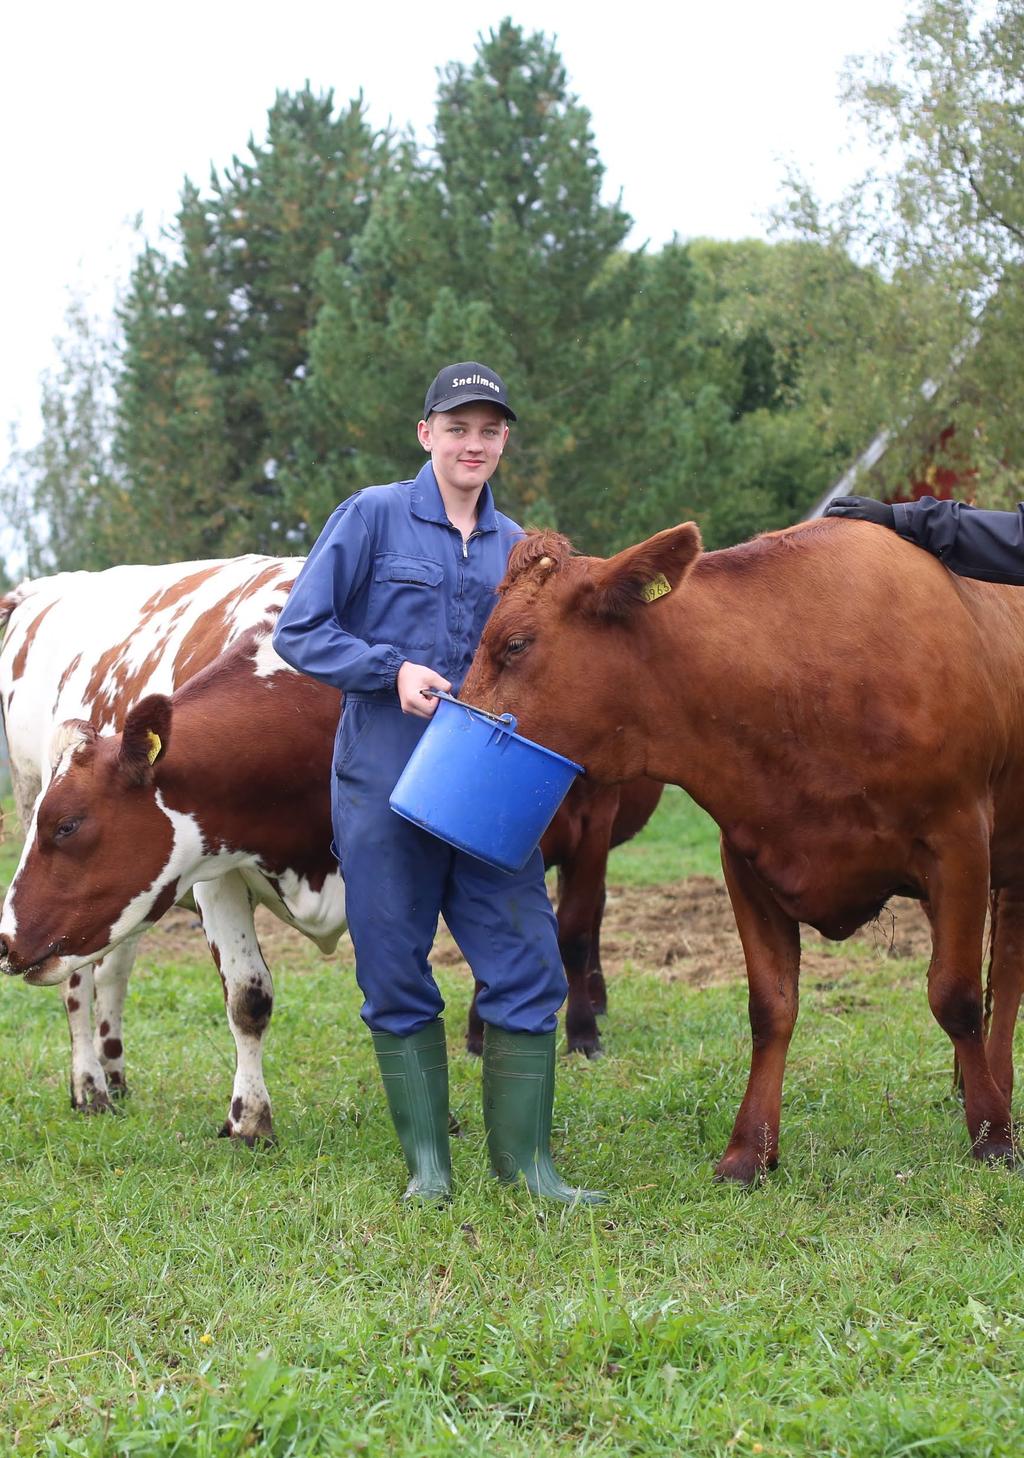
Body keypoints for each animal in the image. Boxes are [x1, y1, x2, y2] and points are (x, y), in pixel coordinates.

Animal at [458, 519, 1024, 1178]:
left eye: (515, 644)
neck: (800, 678)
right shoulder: (749, 858)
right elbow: (770, 1008)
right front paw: (750, 1149)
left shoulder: (958, 841)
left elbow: (955, 995)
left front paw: (992, 1138)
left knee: (1005, 974)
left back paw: (997, 1091)